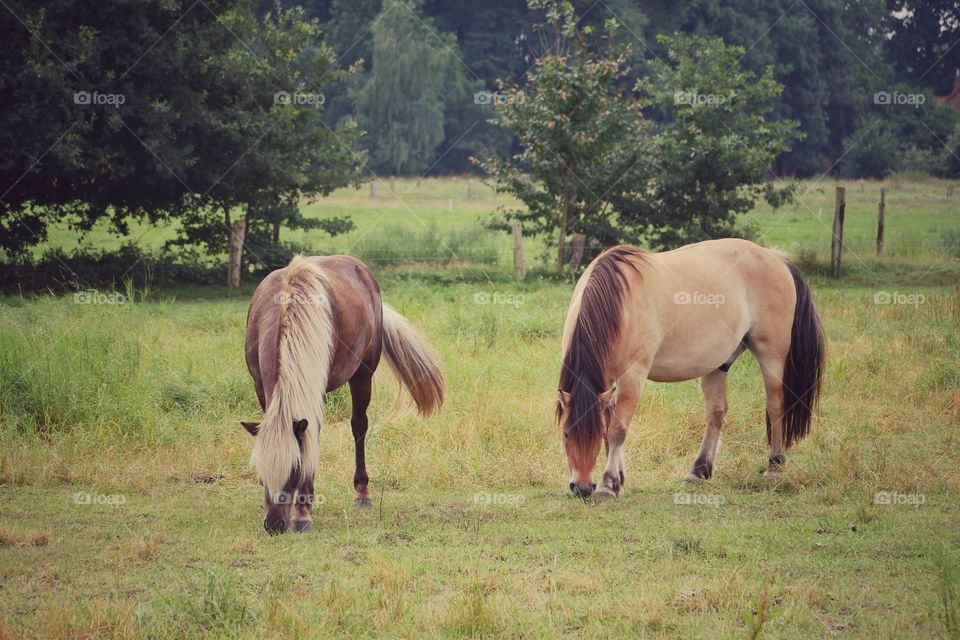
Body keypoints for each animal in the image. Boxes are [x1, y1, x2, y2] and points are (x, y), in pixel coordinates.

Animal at [241, 255, 444, 533]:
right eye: (261, 472)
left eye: (294, 470)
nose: (274, 525)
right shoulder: (261, 387)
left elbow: (312, 439)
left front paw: (303, 512)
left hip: (363, 374)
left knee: (359, 426)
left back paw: (362, 493)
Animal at [556, 238, 825, 498]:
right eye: (566, 434)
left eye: (594, 433)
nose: (582, 488)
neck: (620, 305)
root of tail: (775, 258)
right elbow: (612, 426)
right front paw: (618, 480)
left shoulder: (633, 376)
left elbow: (618, 430)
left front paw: (608, 486)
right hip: (718, 364)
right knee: (716, 413)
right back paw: (698, 471)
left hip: (772, 356)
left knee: (775, 405)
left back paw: (774, 468)